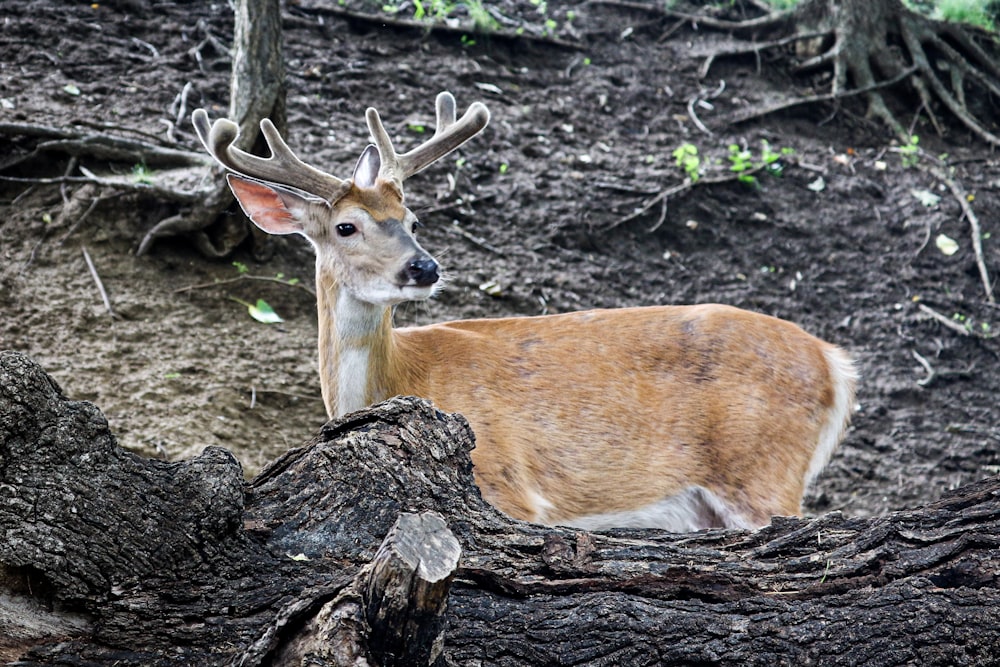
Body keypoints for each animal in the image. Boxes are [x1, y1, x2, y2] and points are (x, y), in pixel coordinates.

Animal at [191, 92, 856, 532]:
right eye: (346, 227)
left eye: (412, 220)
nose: (424, 268)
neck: (398, 378)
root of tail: (835, 363)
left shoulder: (507, 483)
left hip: (763, 468)